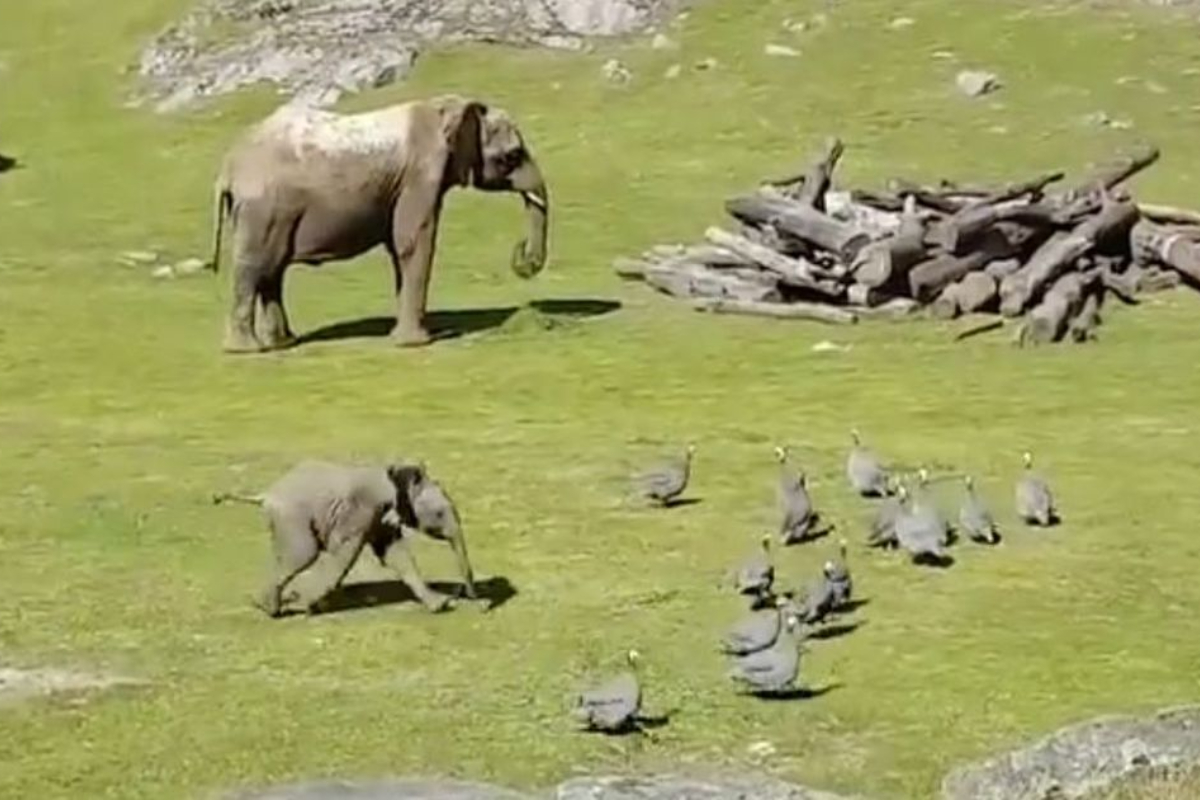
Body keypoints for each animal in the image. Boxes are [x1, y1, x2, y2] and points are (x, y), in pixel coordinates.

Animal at [207, 94, 550, 353]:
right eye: (512, 156)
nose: (521, 253)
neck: (448, 106)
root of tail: (228, 166)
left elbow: (401, 248)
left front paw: (402, 337)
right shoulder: (420, 176)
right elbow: (414, 242)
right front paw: (416, 344)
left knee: (271, 271)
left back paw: (282, 344)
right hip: (263, 209)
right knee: (254, 267)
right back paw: (246, 350)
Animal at [213, 459, 478, 617]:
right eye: (439, 513)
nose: (474, 601)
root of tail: (266, 494)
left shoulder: (380, 518)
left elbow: (395, 554)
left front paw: (441, 606)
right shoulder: (360, 510)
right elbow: (345, 554)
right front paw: (310, 607)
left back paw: (267, 604)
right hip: (292, 516)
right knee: (304, 554)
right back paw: (274, 610)